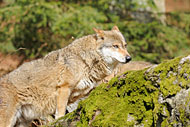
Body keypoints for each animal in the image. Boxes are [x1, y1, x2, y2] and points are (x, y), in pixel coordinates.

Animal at [0, 25, 131, 126]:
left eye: (125, 45)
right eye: (115, 46)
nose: (129, 58)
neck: (85, 61)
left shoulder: (79, 93)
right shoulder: (64, 89)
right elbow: (61, 113)